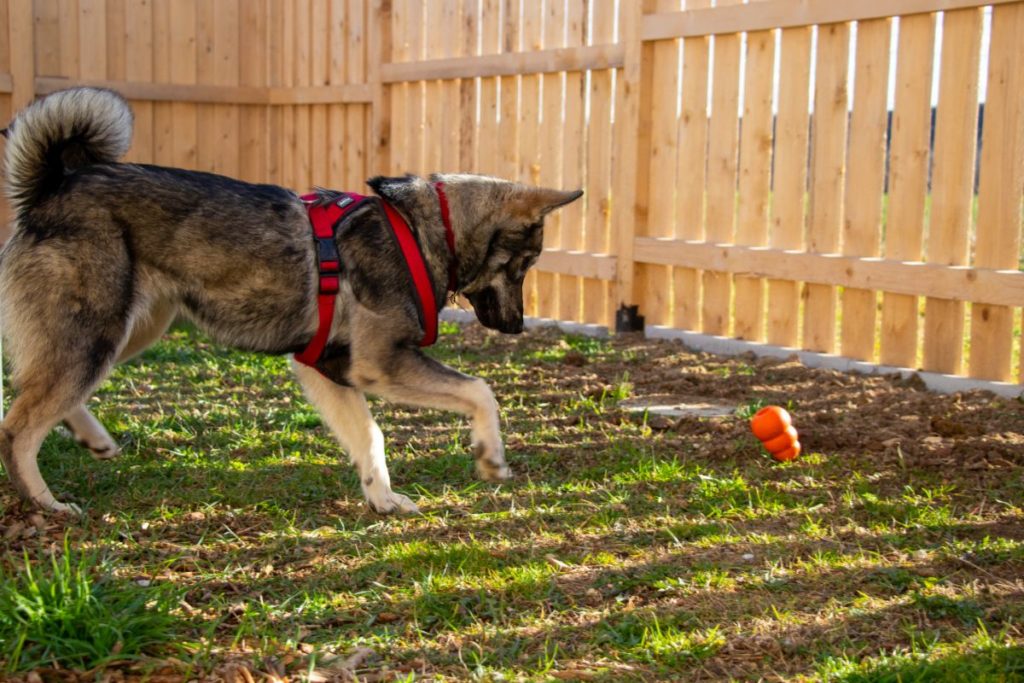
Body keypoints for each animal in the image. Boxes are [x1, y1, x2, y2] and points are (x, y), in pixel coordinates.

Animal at [0, 88, 581, 511]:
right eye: (524, 265)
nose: (518, 327)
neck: (420, 230)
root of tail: (52, 188)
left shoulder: (328, 369)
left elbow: (370, 438)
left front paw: (383, 499)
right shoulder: (381, 364)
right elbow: (480, 391)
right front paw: (490, 456)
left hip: (129, 330)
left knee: (34, 392)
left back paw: (91, 440)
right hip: (96, 335)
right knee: (19, 427)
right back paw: (45, 504)